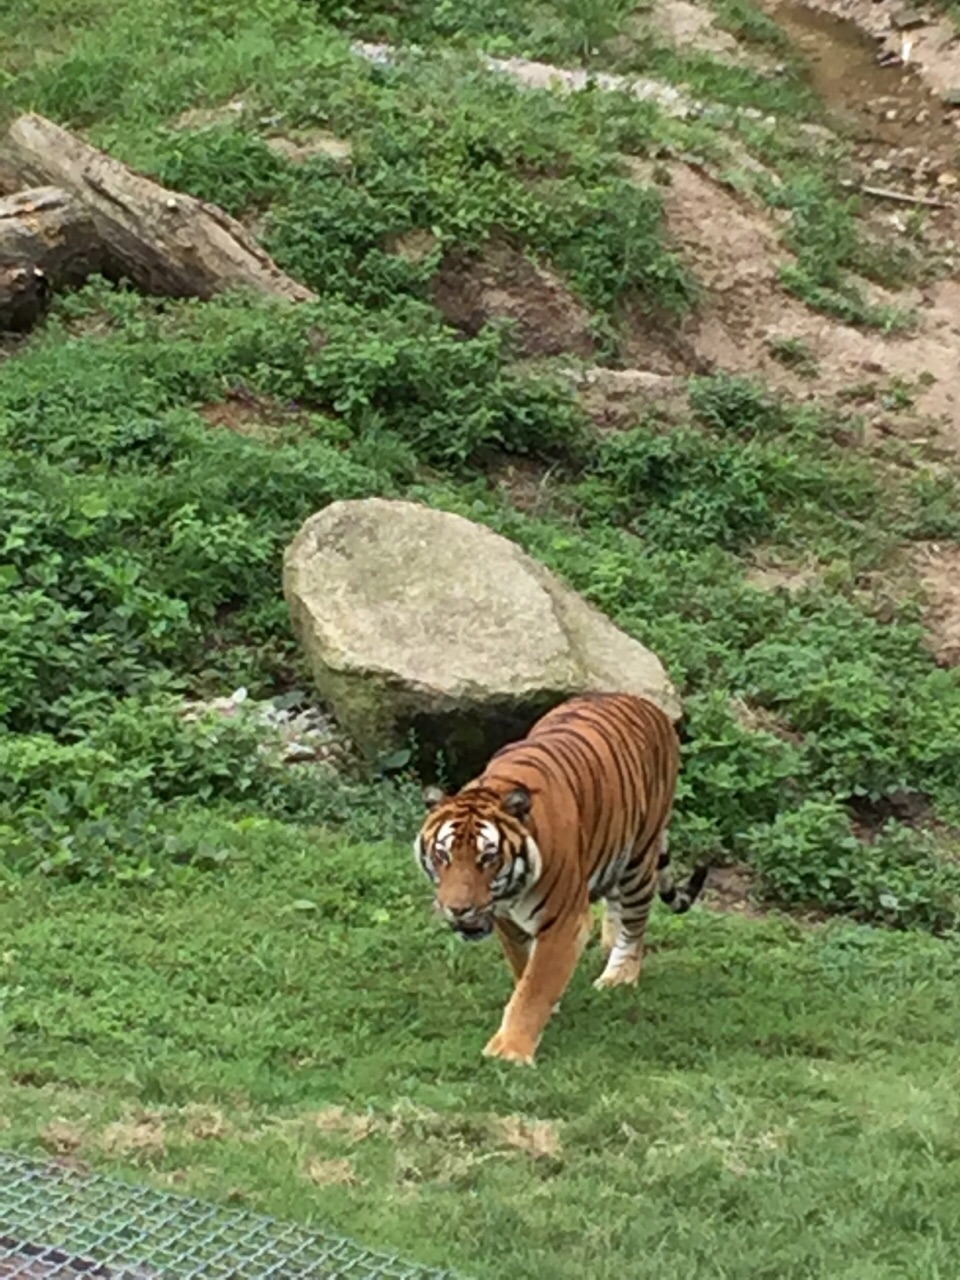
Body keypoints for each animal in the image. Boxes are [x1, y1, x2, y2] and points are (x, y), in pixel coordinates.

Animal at [414, 696, 706, 1064]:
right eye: (443, 856)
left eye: (488, 858)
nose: (458, 909)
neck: (510, 892)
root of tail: (646, 703)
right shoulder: (506, 921)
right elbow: (523, 966)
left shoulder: (565, 920)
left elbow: (537, 983)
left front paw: (510, 1051)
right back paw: (609, 942)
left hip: (640, 856)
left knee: (637, 920)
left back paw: (620, 975)